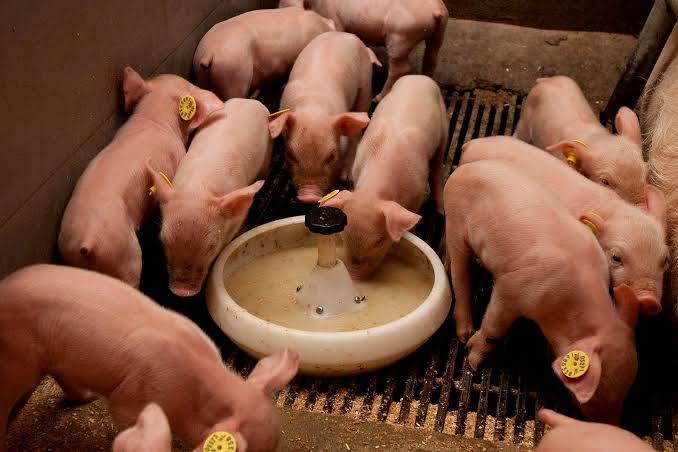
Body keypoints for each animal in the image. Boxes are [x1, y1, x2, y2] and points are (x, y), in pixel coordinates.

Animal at [268, 31, 379, 202]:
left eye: (331, 156)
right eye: (290, 155)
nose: (309, 196)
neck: (313, 106)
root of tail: (344, 33)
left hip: (366, 81)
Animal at [278, 0, 449, 101]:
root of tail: (437, 10)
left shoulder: (334, 17)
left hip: (400, 35)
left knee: (401, 68)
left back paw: (378, 98)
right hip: (438, 32)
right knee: (431, 58)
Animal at [323, 75, 447, 279]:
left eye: (379, 241)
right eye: (345, 234)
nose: (355, 275)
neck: (373, 190)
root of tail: (419, 77)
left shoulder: (418, 191)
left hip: (443, 132)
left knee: (438, 167)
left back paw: (440, 208)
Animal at [445, 160, 638, 423]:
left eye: (626, 390)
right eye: (597, 392)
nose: (612, 424)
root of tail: (464, 170)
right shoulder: (511, 289)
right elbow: (494, 327)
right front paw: (473, 362)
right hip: (456, 222)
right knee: (460, 275)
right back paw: (464, 333)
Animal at [514, 75, 647, 205]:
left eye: (645, 174)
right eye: (604, 182)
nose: (641, 206)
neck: (594, 139)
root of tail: (546, 80)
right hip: (526, 113)